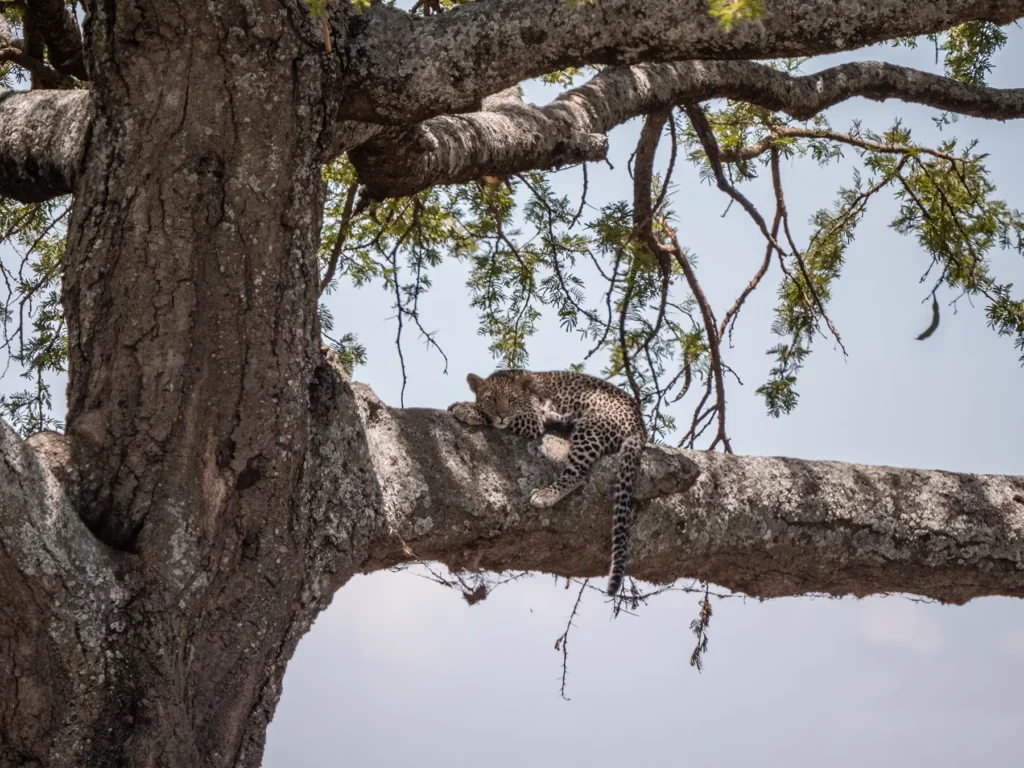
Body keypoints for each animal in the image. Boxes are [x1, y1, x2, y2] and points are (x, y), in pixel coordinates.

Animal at [448, 369, 646, 596]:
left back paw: (545, 494)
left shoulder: (531, 420)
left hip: (592, 429)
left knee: (578, 475)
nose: (502, 414)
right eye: (491, 399)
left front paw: (467, 409)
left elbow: (495, 419)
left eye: (512, 400)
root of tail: (640, 423)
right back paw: (561, 419)